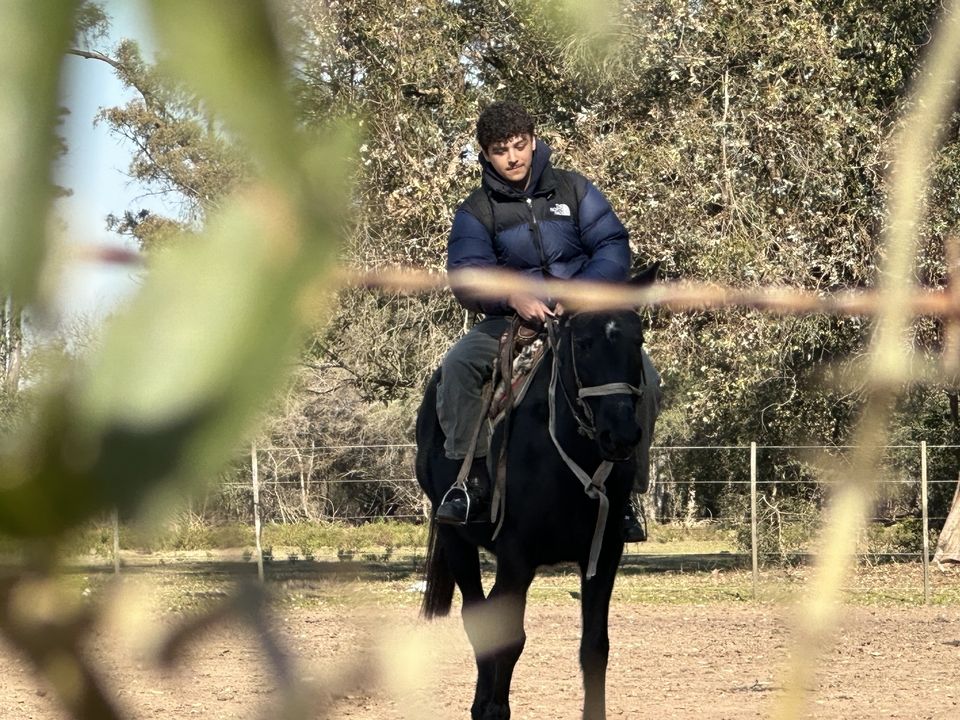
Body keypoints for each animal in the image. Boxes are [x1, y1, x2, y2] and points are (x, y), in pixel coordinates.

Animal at [416, 272, 656, 720]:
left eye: (638, 340)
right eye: (583, 343)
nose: (621, 435)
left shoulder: (604, 555)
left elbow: (594, 647)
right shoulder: (517, 558)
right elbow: (508, 641)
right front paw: (493, 709)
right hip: (458, 542)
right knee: (477, 618)